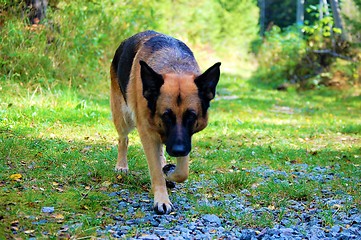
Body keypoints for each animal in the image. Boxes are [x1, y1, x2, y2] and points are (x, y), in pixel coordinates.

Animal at [109, 31, 219, 215]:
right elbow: (156, 171)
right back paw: (121, 166)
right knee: (123, 139)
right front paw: (161, 199)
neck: (175, 67)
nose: (177, 150)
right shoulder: (148, 133)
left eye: (191, 116)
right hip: (124, 117)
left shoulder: (185, 139)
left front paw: (169, 172)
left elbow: (182, 172)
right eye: (166, 116)